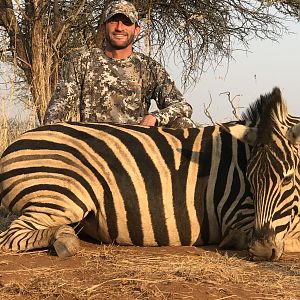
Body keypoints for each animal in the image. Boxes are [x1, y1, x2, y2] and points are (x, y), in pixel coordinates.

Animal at [0, 87, 298, 260]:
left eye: (286, 179)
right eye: (250, 183)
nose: (262, 250)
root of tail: (14, 143)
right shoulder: (236, 215)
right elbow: (291, 237)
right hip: (63, 194)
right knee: (10, 236)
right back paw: (64, 241)